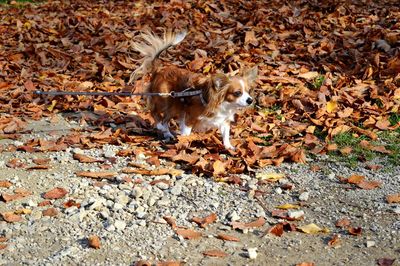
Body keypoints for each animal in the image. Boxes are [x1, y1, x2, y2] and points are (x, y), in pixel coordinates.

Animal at [130, 30, 258, 151]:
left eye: (248, 91)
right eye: (237, 93)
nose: (250, 100)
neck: (223, 104)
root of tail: (159, 70)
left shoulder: (224, 120)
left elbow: (225, 134)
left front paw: (228, 147)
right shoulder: (189, 118)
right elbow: (186, 133)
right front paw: (184, 144)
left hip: (175, 106)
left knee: (165, 120)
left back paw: (167, 134)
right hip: (166, 99)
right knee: (155, 113)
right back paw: (161, 127)